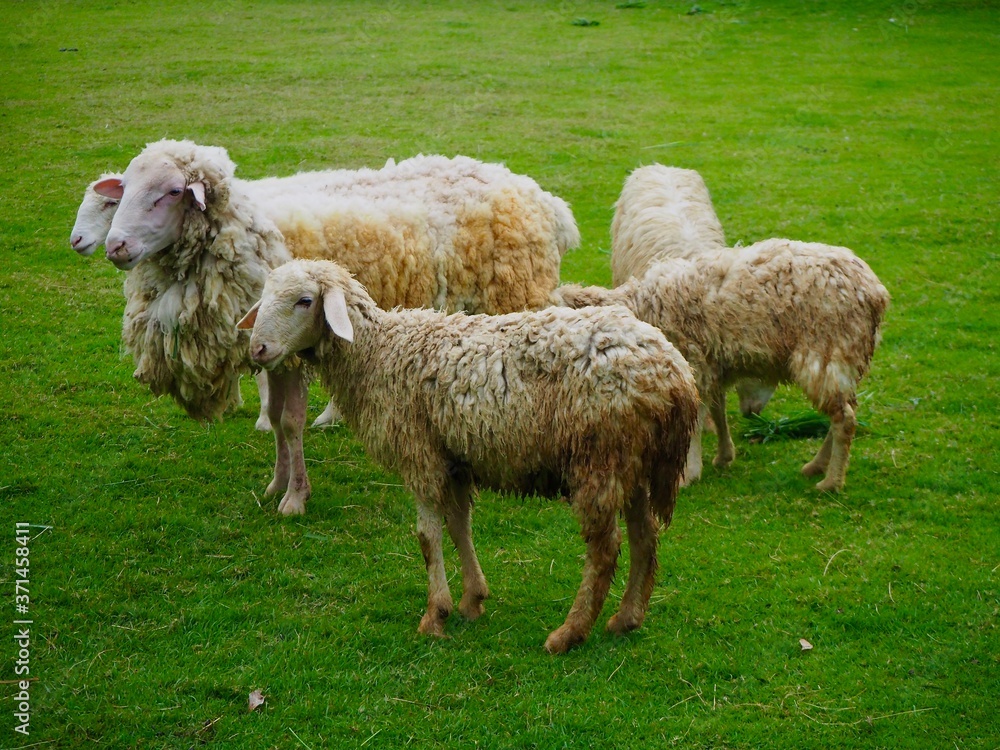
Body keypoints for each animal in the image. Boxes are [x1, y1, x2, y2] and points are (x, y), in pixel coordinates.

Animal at [236, 259, 699, 653]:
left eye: (305, 300)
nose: (257, 349)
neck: (379, 355)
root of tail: (676, 375)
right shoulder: (454, 458)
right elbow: (459, 526)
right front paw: (472, 600)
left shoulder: (420, 454)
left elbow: (427, 537)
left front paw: (434, 615)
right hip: (632, 460)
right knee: (645, 537)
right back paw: (627, 618)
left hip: (600, 457)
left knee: (605, 549)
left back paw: (569, 633)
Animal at [552, 238, 889, 492]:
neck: (641, 309)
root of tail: (876, 294)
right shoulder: (713, 363)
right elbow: (717, 409)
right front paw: (724, 456)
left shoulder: (694, 363)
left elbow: (698, 417)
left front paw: (689, 472)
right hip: (846, 358)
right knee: (845, 411)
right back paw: (818, 466)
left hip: (828, 351)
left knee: (844, 418)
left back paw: (831, 481)